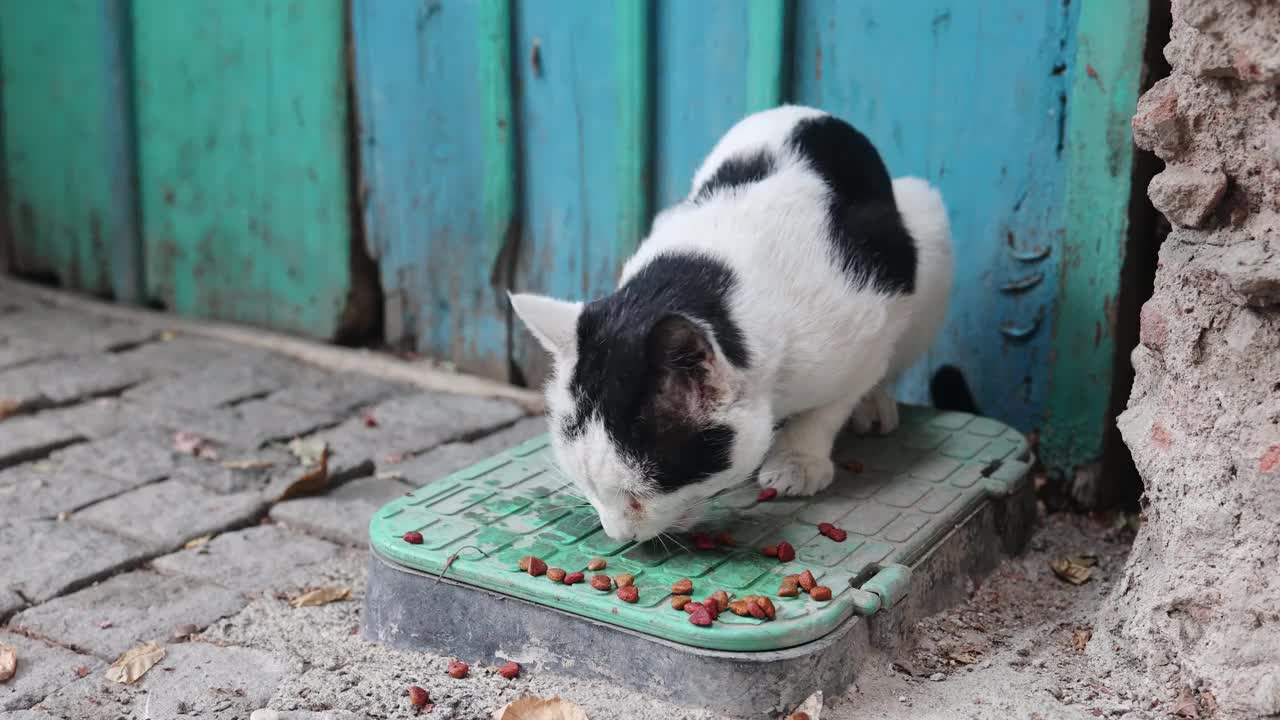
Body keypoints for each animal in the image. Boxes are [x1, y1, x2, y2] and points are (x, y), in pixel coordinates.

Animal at [509, 102, 952, 538]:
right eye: (586, 484)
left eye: (641, 493)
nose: (618, 535)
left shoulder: (875, 313)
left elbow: (835, 399)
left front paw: (799, 457)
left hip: (925, 223)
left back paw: (874, 404)